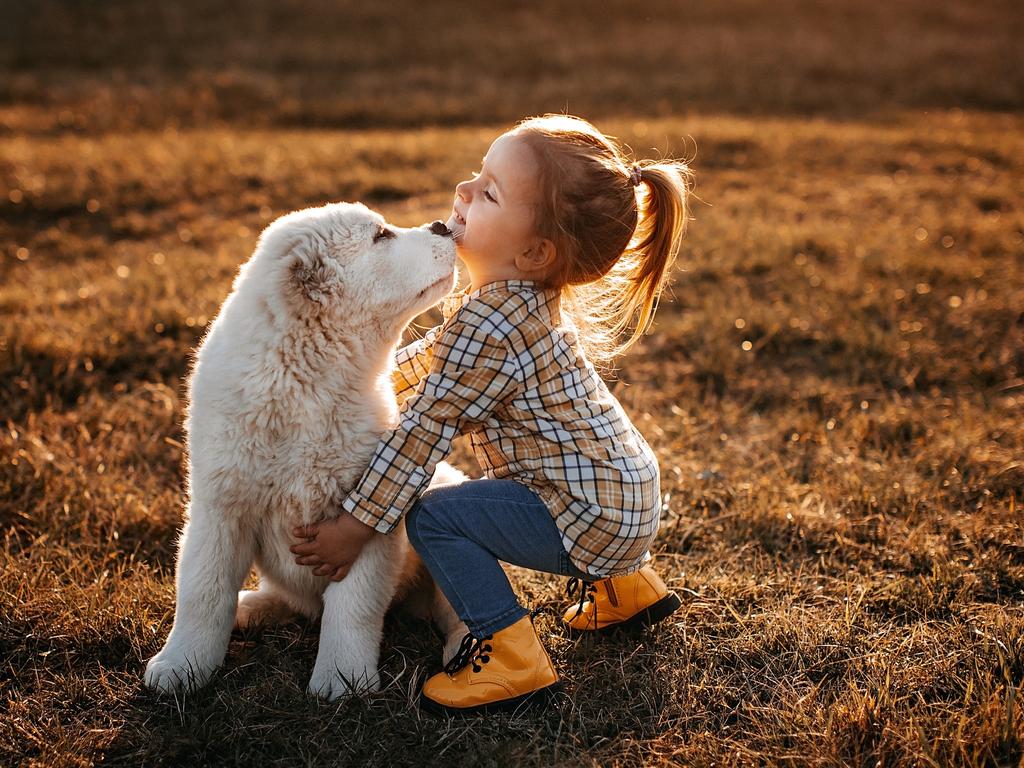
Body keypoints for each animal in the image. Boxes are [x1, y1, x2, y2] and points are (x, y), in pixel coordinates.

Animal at [143, 201, 468, 700]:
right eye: (380, 236)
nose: (441, 225)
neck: (306, 381)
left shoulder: (359, 522)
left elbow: (353, 606)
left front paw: (342, 680)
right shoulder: (221, 506)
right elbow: (203, 591)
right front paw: (182, 667)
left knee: (451, 608)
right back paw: (251, 606)